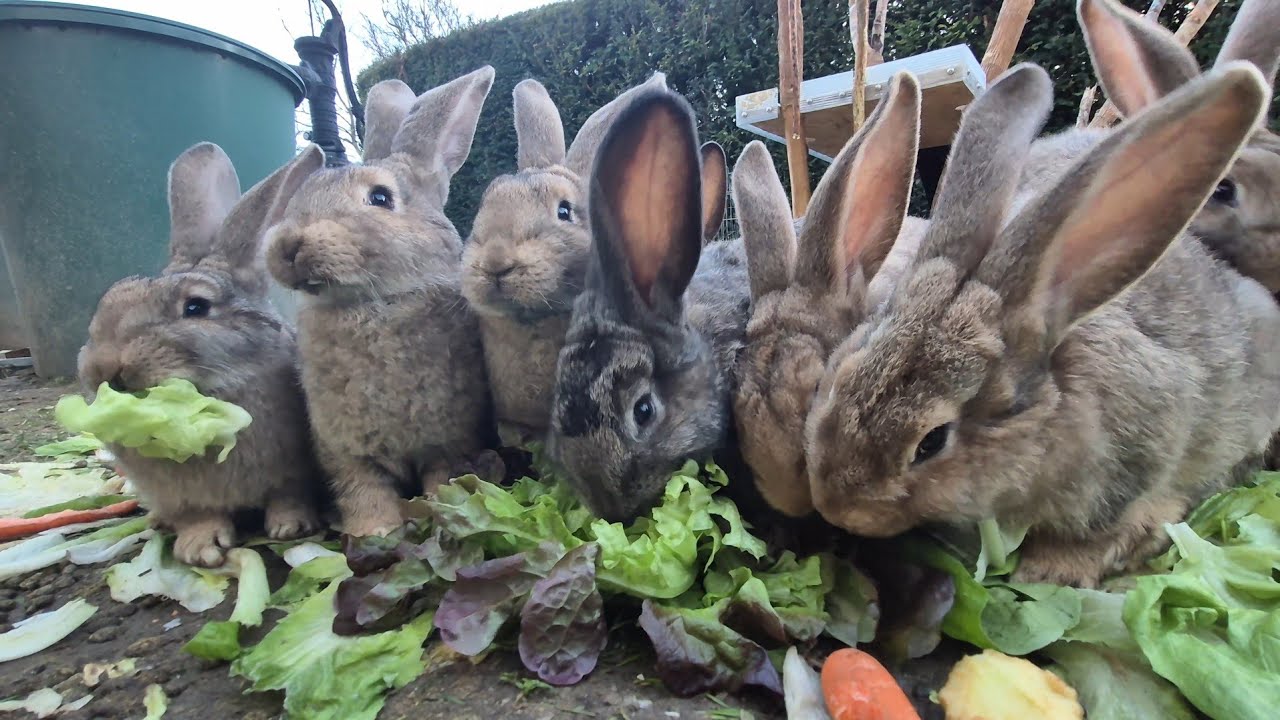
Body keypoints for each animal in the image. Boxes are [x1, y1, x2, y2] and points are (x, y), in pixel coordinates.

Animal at [77, 142, 325, 567]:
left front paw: (290, 526)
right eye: (109, 300)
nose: (104, 369)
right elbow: (197, 515)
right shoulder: (179, 496)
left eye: (196, 307)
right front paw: (199, 549)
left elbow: (288, 495)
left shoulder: (294, 470)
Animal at [265, 66, 500, 538]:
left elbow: (439, 477)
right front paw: (375, 532)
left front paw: (438, 514)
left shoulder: (447, 440)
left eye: (379, 198)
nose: (288, 245)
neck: (374, 303)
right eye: (300, 197)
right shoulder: (345, 449)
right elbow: (364, 491)